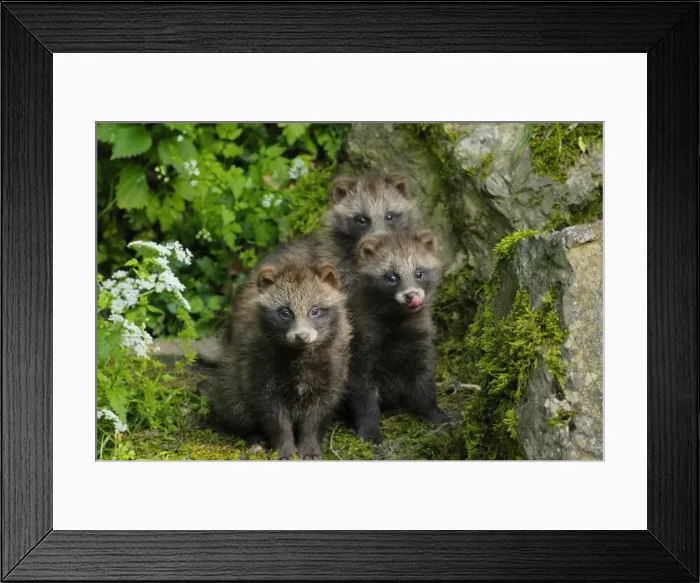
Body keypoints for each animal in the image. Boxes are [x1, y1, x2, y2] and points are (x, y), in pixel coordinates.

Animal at [210, 260, 351, 459]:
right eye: (285, 312)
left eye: (315, 311)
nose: (302, 336)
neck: (300, 354)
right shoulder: (259, 366)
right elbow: (273, 413)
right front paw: (285, 447)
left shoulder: (333, 368)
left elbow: (318, 412)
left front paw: (310, 445)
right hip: (231, 381)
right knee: (235, 405)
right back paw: (253, 436)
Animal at [346, 230, 449, 442]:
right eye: (391, 277)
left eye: (419, 272)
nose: (411, 295)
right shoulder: (361, 354)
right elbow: (364, 398)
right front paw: (370, 432)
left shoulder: (422, 349)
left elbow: (426, 388)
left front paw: (437, 415)